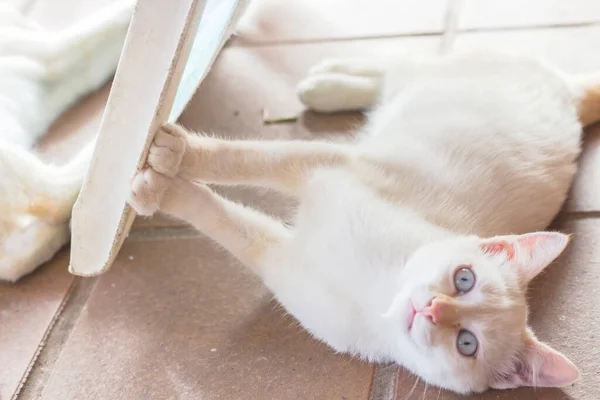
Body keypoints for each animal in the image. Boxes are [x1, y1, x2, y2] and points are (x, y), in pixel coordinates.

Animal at [125, 50, 596, 394]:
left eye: (467, 343)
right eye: (466, 278)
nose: (431, 308)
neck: (376, 289)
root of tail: (570, 98)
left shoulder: (276, 258)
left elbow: (215, 217)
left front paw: (159, 188)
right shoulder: (323, 164)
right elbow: (244, 158)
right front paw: (174, 157)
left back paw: (328, 84)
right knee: (403, 63)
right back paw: (330, 81)